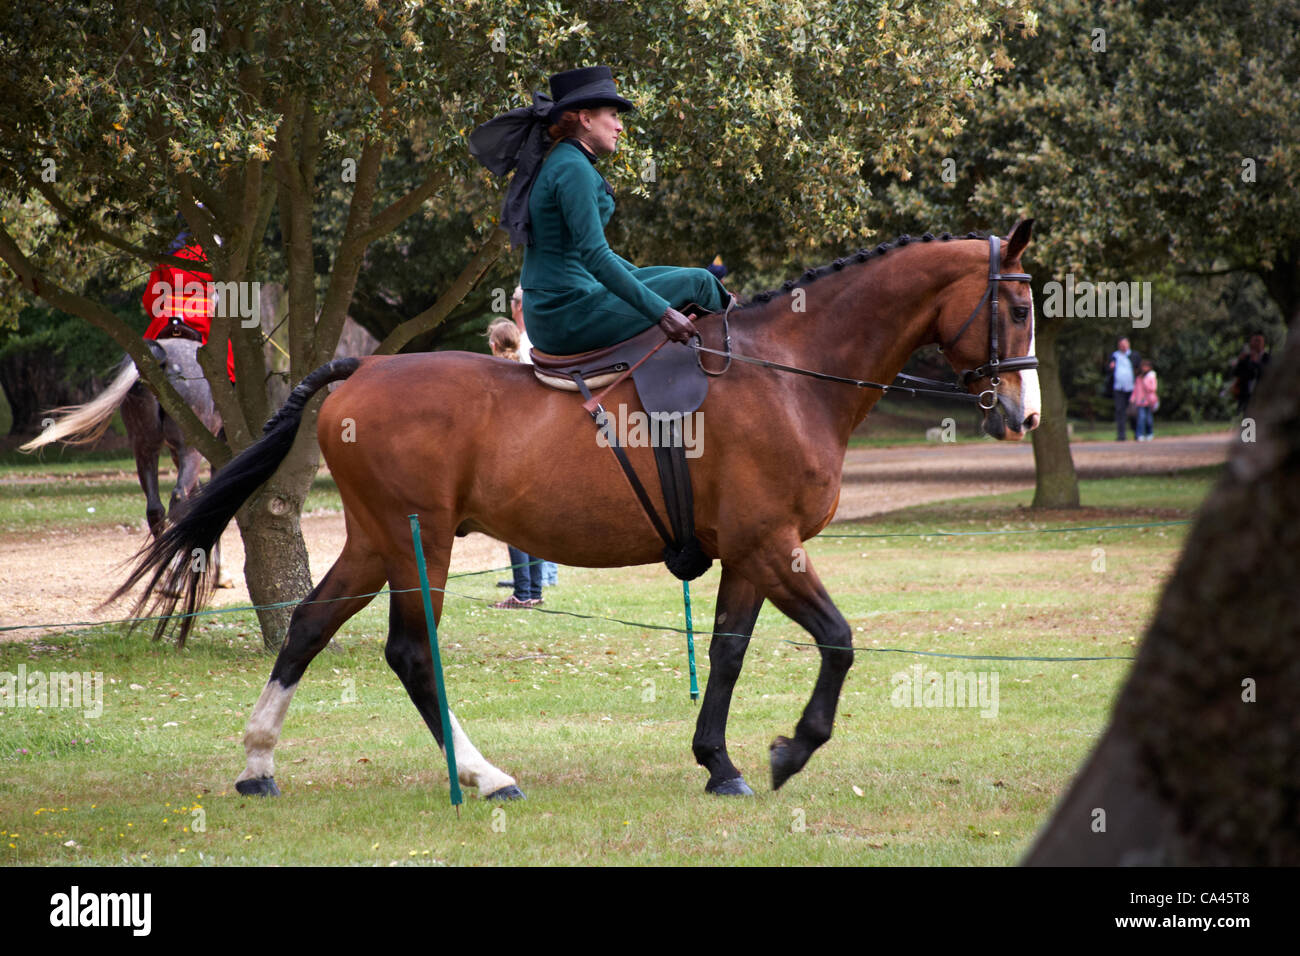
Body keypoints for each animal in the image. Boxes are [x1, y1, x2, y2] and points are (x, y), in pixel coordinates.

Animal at [116, 218, 1040, 801]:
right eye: (1022, 306)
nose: (1023, 415)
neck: (787, 372)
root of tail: (365, 369)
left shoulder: (749, 554)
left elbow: (730, 653)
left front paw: (719, 763)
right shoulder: (773, 544)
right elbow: (839, 641)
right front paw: (790, 750)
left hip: (376, 542)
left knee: (308, 626)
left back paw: (258, 762)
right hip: (421, 543)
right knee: (411, 654)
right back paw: (485, 776)